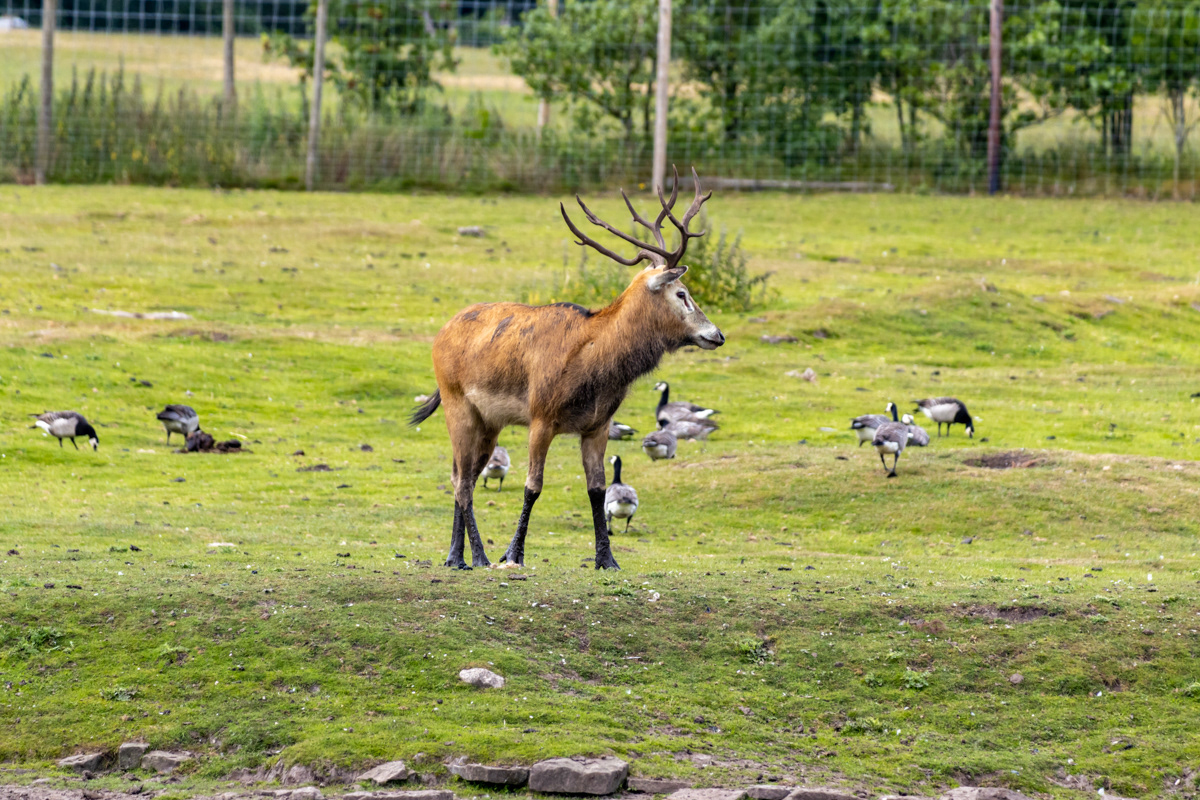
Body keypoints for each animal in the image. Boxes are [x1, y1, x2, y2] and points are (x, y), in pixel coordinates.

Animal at [409, 167, 725, 571]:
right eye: (682, 293)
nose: (717, 334)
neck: (593, 365)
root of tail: (440, 335)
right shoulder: (541, 418)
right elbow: (533, 486)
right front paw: (513, 554)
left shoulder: (598, 425)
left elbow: (597, 489)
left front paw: (607, 559)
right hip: (457, 406)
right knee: (463, 481)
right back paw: (479, 556)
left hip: (489, 422)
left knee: (459, 475)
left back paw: (455, 557)